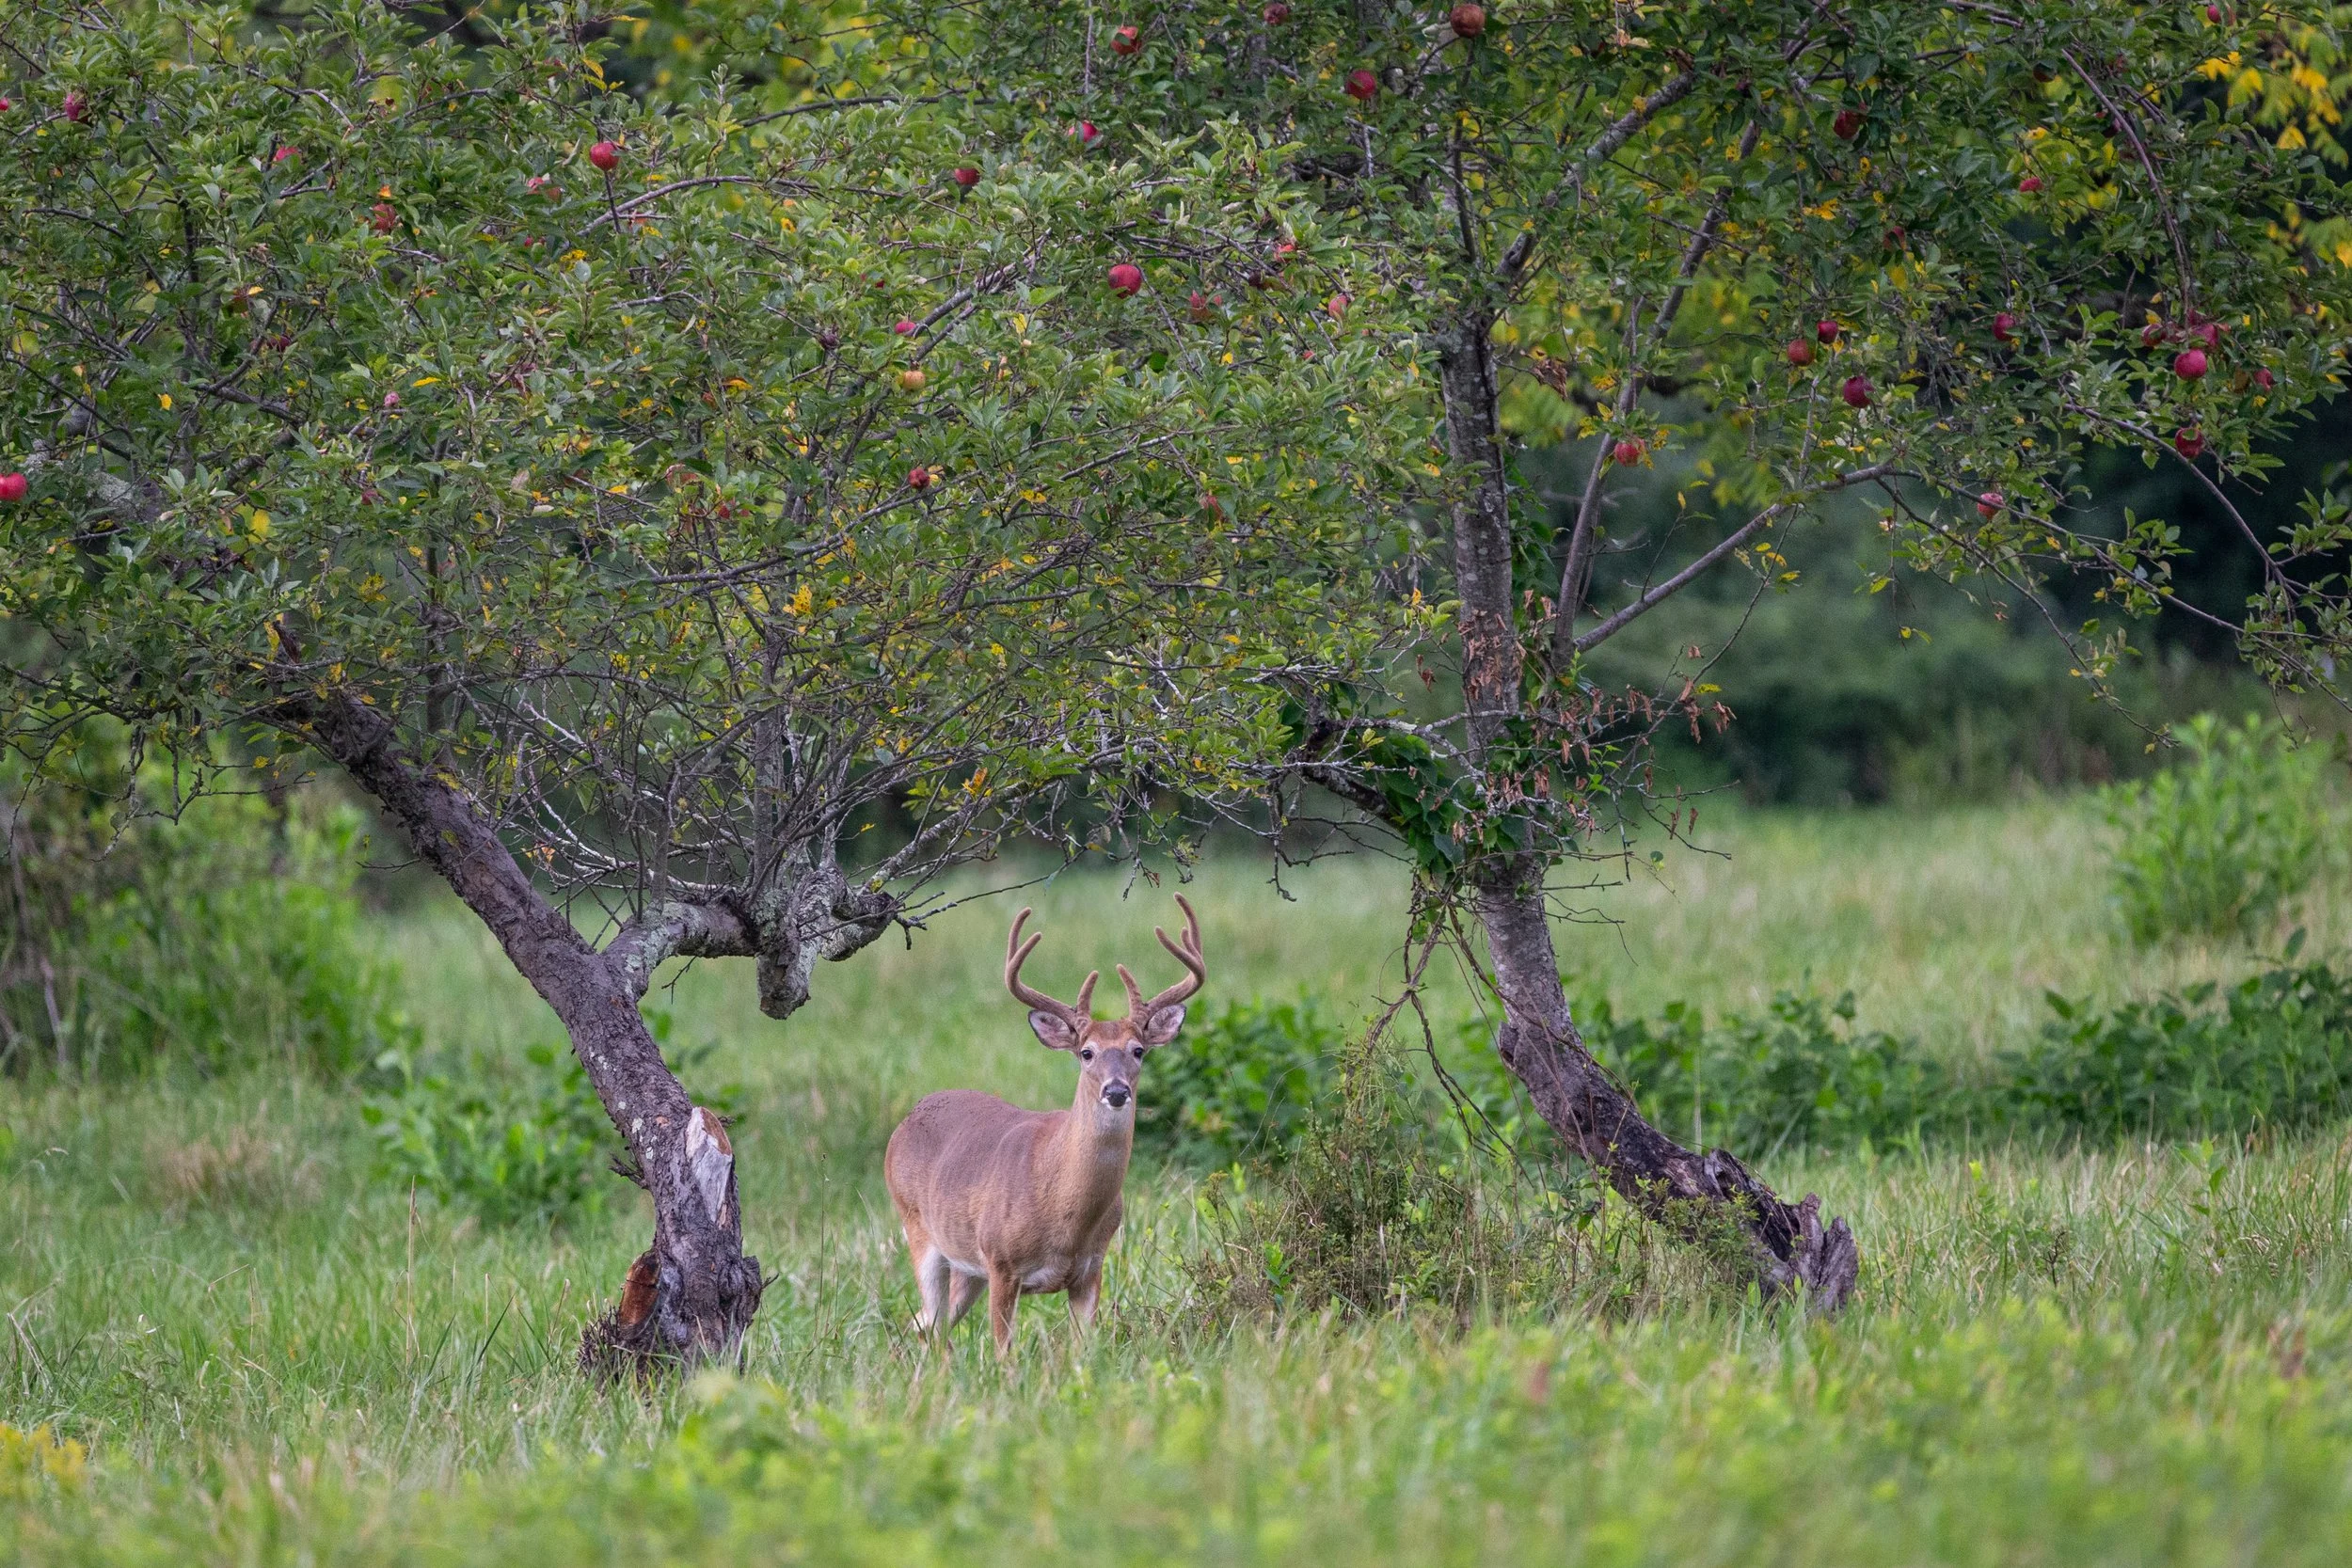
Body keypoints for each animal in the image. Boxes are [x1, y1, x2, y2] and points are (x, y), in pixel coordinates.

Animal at [884, 895, 1205, 1356]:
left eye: (1138, 1050)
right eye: (1086, 1052)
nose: (1116, 1091)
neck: (1065, 1214)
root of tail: (906, 1120)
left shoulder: (1090, 1270)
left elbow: (1084, 1351)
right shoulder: (1001, 1262)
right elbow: (1003, 1355)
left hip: (967, 1268)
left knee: (926, 1327)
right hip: (919, 1229)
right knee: (930, 1324)